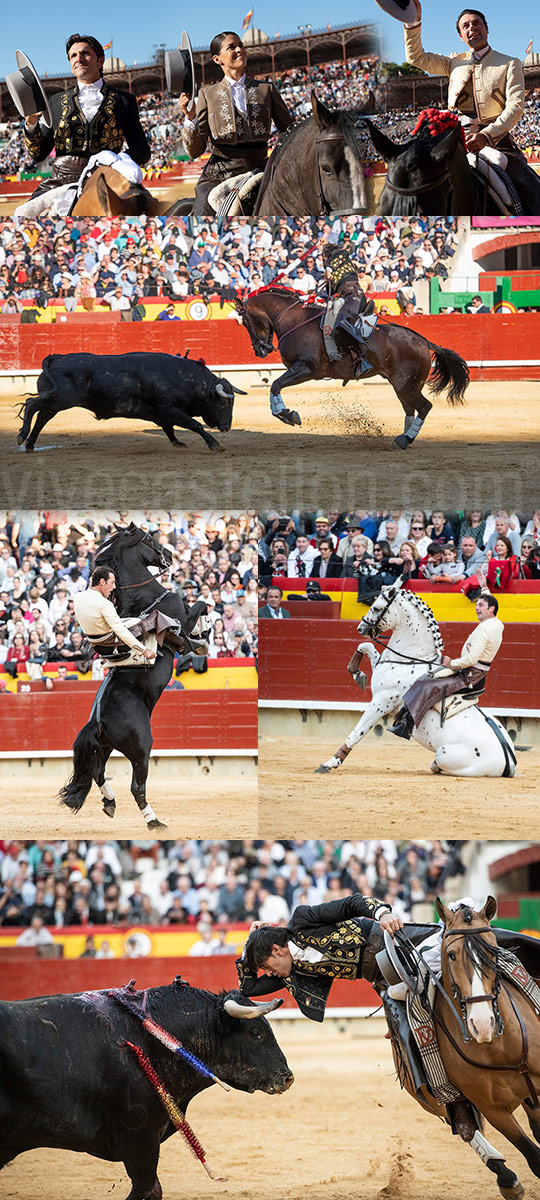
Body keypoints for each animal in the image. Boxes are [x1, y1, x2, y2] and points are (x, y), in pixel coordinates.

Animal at [16, 355, 244, 453]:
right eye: (223, 404)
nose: (226, 427)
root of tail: (56, 358)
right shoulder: (170, 410)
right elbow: (194, 424)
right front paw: (214, 444)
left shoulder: (163, 414)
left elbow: (169, 429)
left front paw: (177, 442)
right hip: (60, 399)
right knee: (31, 404)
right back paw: (21, 436)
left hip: (55, 402)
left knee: (42, 417)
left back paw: (30, 444)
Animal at [58, 525, 206, 835]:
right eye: (150, 538)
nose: (170, 554)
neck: (142, 597)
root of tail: (97, 720)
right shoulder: (183, 618)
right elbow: (201, 604)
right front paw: (202, 639)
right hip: (141, 747)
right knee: (137, 786)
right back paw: (155, 822)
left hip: (103, 747)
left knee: (98, 773)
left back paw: (110, 803)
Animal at [236, 285, 468, 451]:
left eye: (245, 321)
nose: (261, 350)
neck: (294, 319)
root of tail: (424, 341)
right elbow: (275, 385)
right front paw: (285, 414)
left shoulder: (307, 369)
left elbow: (275, 385)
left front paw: (286, 414)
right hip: (402, 385)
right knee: (411, 409)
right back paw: (402, 438)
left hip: (406, 385)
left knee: (424, 407)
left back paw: (405, 439)